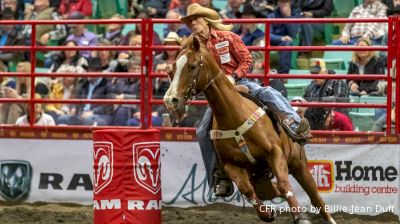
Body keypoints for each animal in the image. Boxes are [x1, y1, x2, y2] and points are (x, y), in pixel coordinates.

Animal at [164, 35, 336, 224]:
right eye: (172, 69)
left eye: (193, 66)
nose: (170, 99)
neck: (234, 115)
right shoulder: (232, 165)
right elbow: (247, 190)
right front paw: (268, 213)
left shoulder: (275, 152)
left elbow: (284, 184)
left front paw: (300, 217)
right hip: (260, 177)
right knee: (272, 191)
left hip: (299, 165)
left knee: (315, 198)